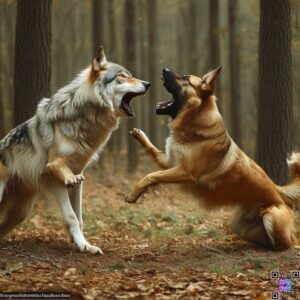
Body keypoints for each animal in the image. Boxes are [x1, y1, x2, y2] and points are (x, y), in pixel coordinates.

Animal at [0, 46, 150, 253]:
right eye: (122, 76)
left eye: (130, 75)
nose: (148, 83)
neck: (86, 119)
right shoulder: (55, 175)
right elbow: (71, 215)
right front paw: (82, 245)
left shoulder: (79, 178)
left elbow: (79, 218)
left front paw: (84, 245)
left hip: (21, 212)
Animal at [126, 67, 298, 250]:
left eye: (185, 78)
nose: (164, 68)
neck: (194, 121)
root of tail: (277, 191)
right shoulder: (169, 162)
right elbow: (152, 152)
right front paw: (139, 135)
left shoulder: (184, 172)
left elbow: (151, 176)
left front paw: (133, 195)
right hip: (240, 226)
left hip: (271, 216)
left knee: (289, 242)